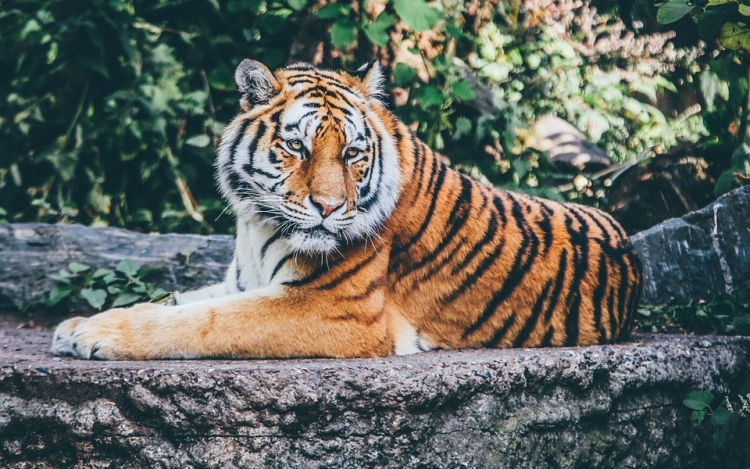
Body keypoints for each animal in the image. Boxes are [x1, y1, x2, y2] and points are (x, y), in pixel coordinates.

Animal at [50, 58, 644, 358]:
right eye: (297, 146)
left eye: (353, 153)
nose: (330, 208)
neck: (256, 224)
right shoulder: (242, 281)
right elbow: (177, 301)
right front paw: (77, 324)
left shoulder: (333, 309)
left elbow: (202, 322)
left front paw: (94, 335)